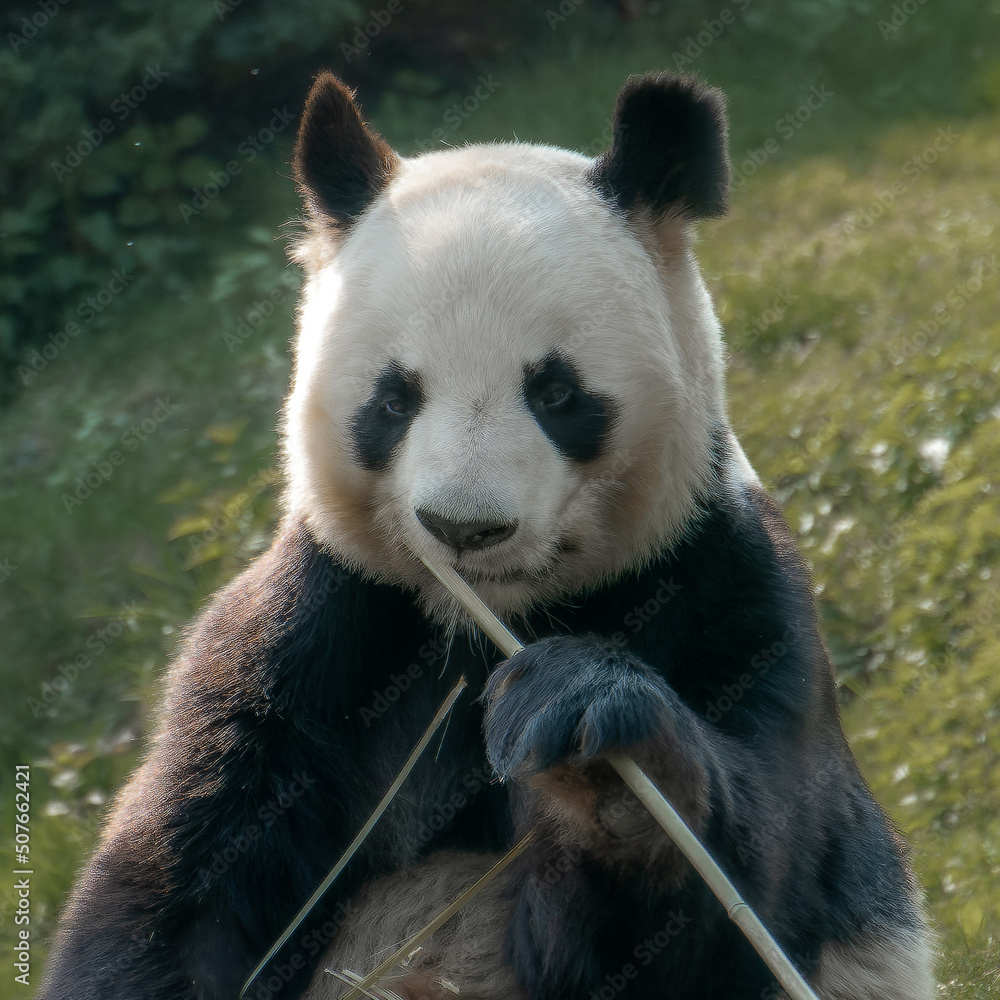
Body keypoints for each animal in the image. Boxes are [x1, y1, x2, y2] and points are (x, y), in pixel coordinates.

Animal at [39, 71, 934, 1000]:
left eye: (556, 393)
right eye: (394, 398)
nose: (463, 527)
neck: (485, 624)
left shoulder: (728, 588)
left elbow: (739, 897)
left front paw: (592, 750)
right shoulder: (318, 632)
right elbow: (181, 880)